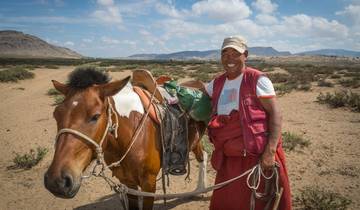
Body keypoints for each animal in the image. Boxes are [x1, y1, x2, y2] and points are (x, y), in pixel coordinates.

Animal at [43, 68, 207, 209]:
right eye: (56, 114)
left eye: (95, 116)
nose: (57, 181)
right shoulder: (128, 184)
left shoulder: (149, 184)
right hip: (194, 140)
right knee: (202, 155)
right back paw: (200, 189)